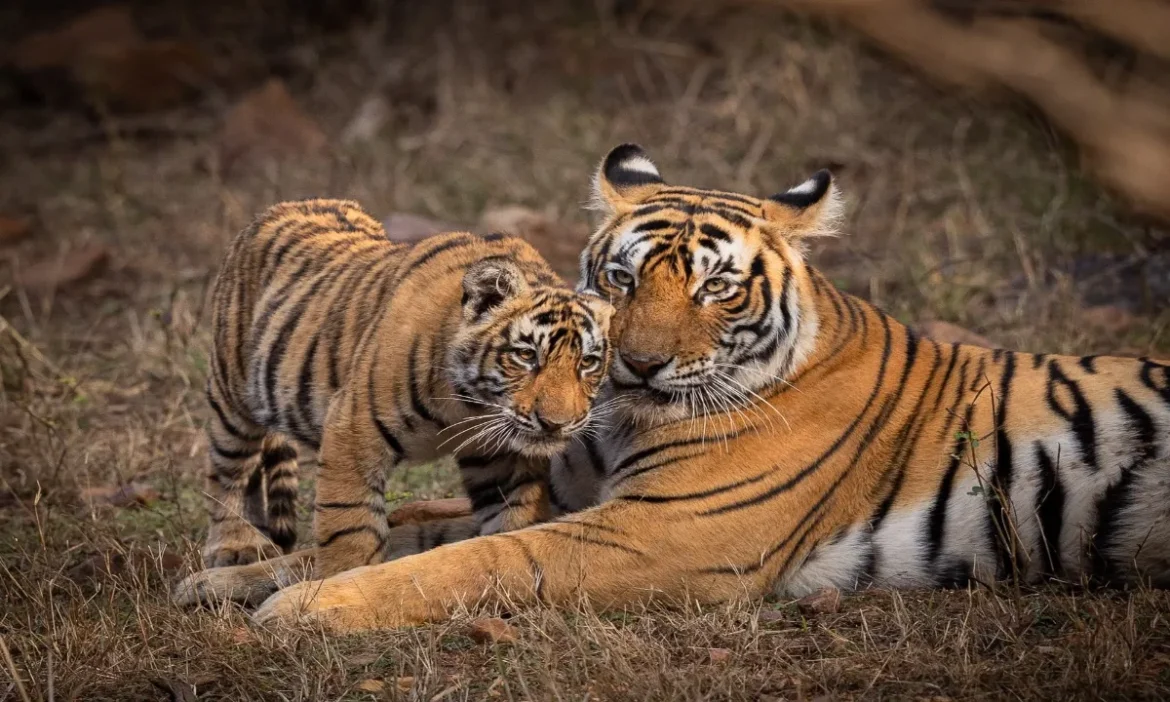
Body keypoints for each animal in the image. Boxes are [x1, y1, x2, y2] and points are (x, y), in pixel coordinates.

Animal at [173, 198, 614, 604]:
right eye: (526, 356)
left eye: (588, 363)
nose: (556, 424)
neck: (470, 405)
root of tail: (278, 207)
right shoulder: (353, 428)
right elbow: (349, 524)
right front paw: (338, 588)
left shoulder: (501, 456)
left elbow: (510, 518)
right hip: (233, 394)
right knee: (226, 470)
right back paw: (235, 545)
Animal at [220, 145, 1169, 632]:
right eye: (622, 277)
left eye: (716, 287)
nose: (636, 366)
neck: (621, 424)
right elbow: (417, 528)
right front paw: (238, 577)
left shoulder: (661, 533)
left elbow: (475, 559)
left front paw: (305, 603)